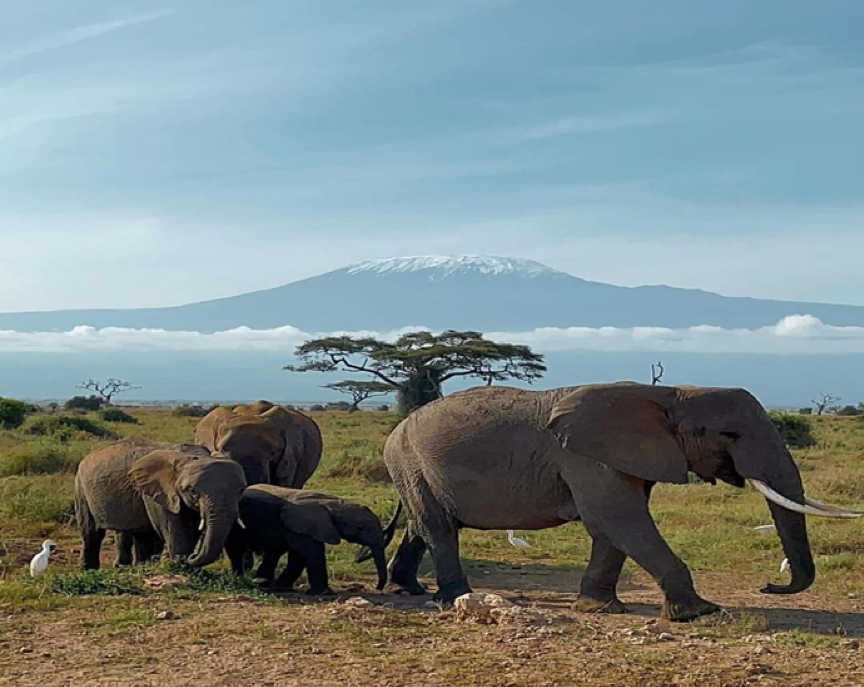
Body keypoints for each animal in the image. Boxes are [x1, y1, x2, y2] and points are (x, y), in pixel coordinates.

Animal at [74, 440, 246, 568]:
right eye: (192, 491)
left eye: (241, 491)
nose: (193, 555)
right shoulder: (158, 491)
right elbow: (175, 528)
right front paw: (182, 568)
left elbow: (192, 528)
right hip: (81, 488)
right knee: (91, 532)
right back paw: (89, 570)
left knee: (141, 533)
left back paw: (140, 567)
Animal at [226, 486, 388, 592]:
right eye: (360, 527)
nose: (377, 588)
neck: (335, 504)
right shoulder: (303, 526)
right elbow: (310, 553)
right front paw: (324, 593)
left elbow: (299, 556)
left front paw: (282, 587)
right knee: (236, 550)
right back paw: (240, 578)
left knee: (273, 553)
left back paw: (262, 583)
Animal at [384, 382, 864, 624]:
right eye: (729, 434)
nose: (768, 585)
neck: (673, 393)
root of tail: (396, 430)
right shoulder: (582, 453)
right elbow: (619, 517)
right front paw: (701, 613)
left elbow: (613, 527)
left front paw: (600, 608)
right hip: (407, 461)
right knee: (438, 528)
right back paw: (454, 599)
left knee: (424, 526)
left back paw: (408, 589)